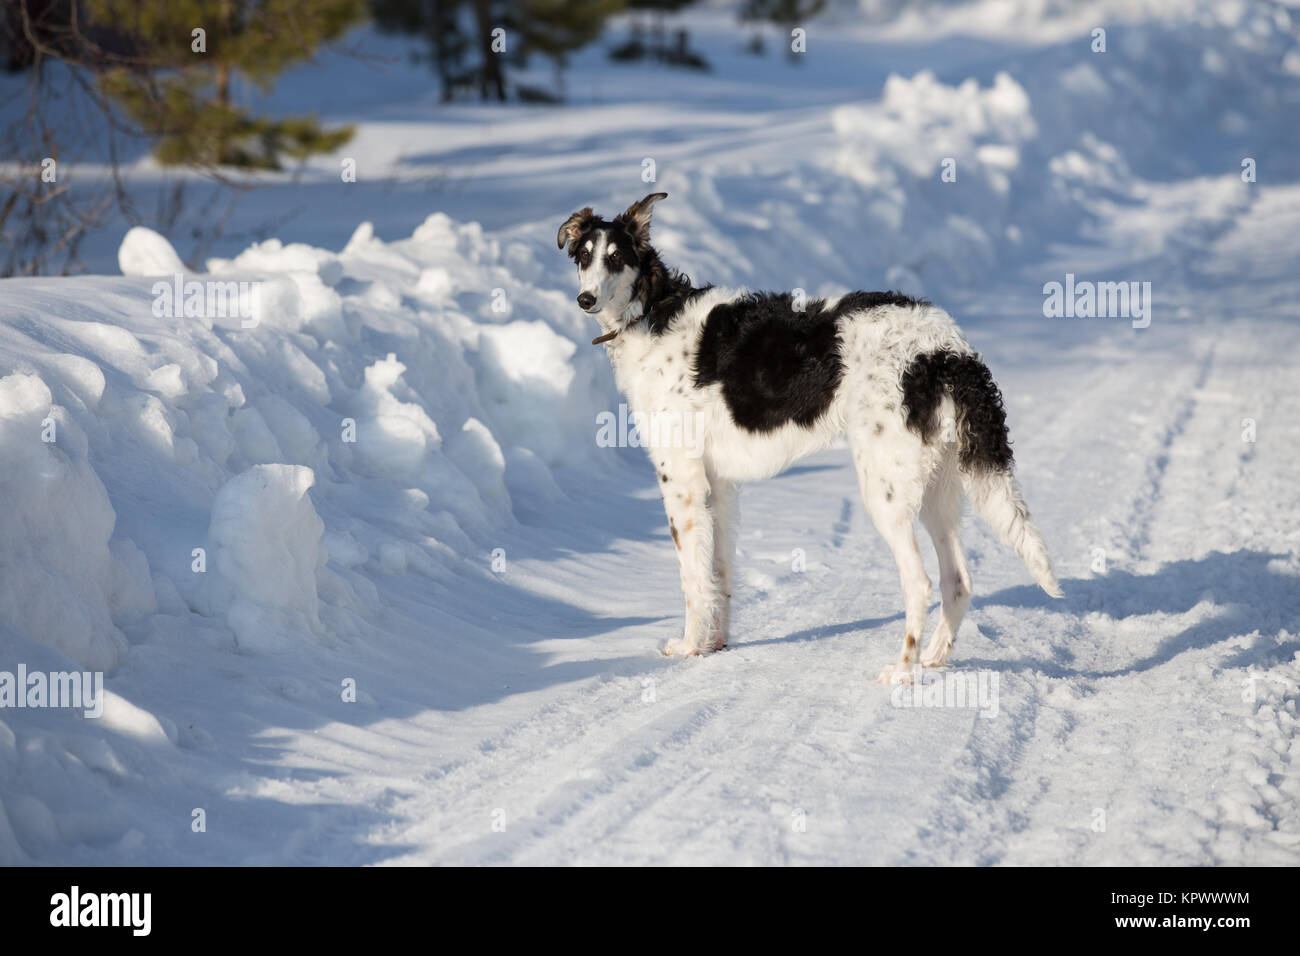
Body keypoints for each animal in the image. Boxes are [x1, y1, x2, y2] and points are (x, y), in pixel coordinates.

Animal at [561, 192, 1066, 681]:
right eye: (584, 256)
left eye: (616, 257)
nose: (584, 299)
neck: (651, 312)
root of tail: (945, 348)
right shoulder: (718, 486)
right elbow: (719, 573)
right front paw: (713, 644)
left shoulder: (681, 482)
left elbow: (693, 580)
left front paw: (687, 647)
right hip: (935, 489)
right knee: (957, 581)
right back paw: (933, 659)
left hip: (885, 491)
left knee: (920, 583)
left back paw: (902, 670)